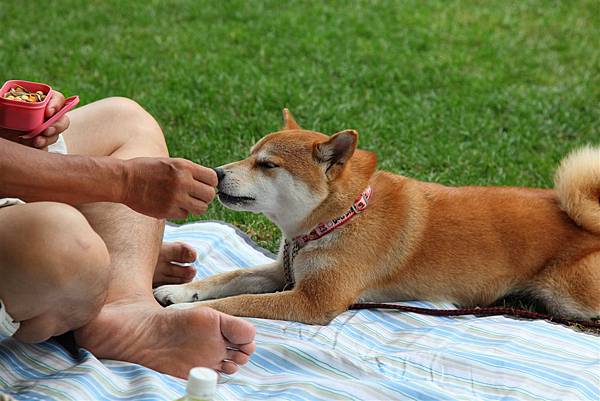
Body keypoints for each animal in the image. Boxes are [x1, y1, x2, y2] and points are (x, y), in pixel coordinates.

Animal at [155, 109, 600, 324]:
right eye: (249, 154)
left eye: (267, 165)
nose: (216, 173)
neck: (337, 219)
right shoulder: (283, 271)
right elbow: (230, 279)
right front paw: (180, 292)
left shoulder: (311, 300)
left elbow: (236, 302)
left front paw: (185, 313)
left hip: (569, 296)